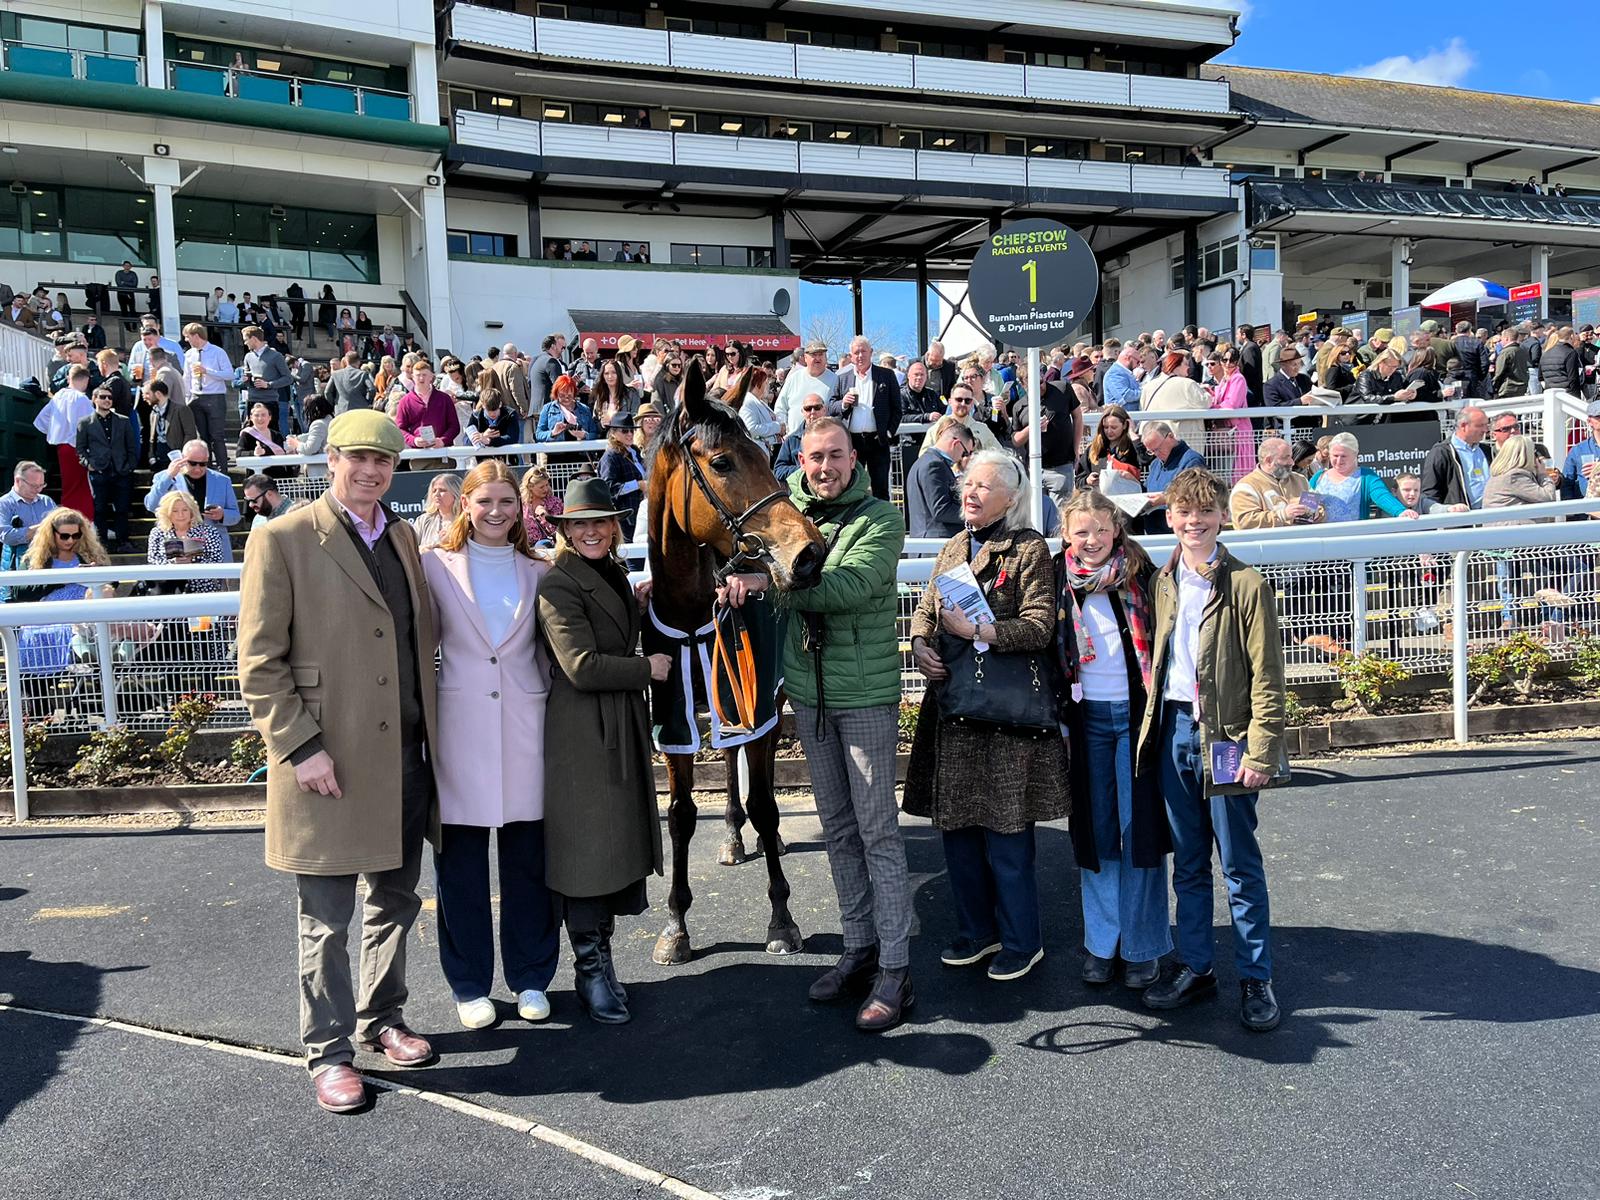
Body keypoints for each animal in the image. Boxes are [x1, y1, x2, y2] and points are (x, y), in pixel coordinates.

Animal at [646, 360, 832, 966]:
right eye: (723, 461)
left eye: (764, 454)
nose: (809, 553)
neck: (691, 617)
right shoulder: (676, 724)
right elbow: (681, 815)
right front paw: (675, 926)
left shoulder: (754, 704)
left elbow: (767, 803)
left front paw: (782, 920)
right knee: (729, 766)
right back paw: (730, 836)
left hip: (763, 698)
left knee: (757, 772)